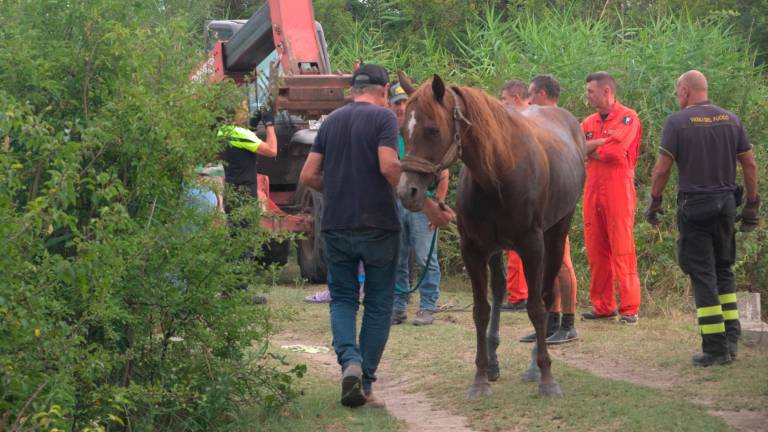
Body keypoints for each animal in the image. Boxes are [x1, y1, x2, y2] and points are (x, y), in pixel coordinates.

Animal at [400, 74, 584, 398]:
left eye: (433, 129)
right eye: (403, 130)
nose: (407, 191)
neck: (499, 171)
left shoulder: (532, 247)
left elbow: (536, 307)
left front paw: (546, 377)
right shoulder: (473, 250)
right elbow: (481, 310)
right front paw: (481, 377)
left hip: (557, 232)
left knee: (547, 295)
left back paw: (534, 366)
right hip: (497, 248)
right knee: (499, 290)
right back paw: (495, 359)